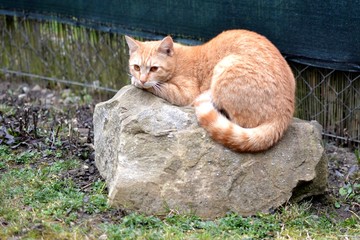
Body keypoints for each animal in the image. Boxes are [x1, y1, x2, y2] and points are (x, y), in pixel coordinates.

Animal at [125, 29, 294, 151]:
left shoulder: (185, 94)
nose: (142, 79)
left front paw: (138, 83)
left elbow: (160, 88)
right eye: (136, 67)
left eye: (154, 68)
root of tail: (284, 114)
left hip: (226, 66)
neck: (177, 61)